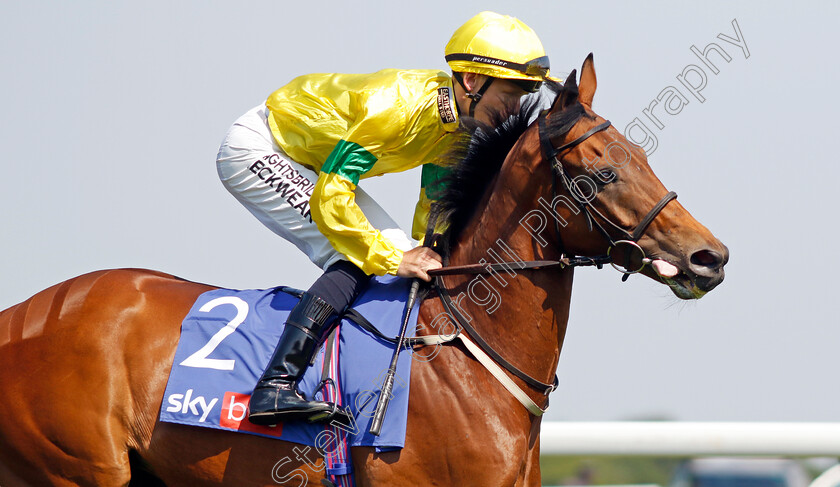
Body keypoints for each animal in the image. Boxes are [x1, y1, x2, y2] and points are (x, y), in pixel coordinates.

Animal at [0, 55, 724, 486]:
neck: (465, 351)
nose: (710, 256)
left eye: (644, 157)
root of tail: (22, 316)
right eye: (604, 173)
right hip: (76, 468)